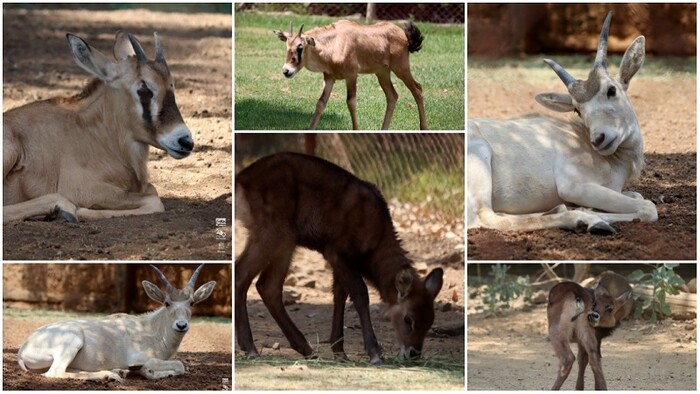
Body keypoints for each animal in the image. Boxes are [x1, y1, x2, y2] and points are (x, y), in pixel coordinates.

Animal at [4, 31, 194, 222]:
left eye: (171, 85)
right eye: (143, 88)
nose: (185, 141)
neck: (101, 135)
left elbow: (153, 192)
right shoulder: (84, 189)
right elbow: (154, 200)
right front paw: (82, 211)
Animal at [18, 264, 216, 382]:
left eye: (192, 303)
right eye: (167, 303)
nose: (181, 325)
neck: (152, 330)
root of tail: (22, 349)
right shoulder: (139, 358)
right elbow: (179, 365)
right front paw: (150, 372)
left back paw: (117, 373)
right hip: (72, 340)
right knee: (55, 373)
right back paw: (109, 375)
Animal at [235, 151, 442, 364]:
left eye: (430, 321)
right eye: (408, 319)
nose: (413, 353)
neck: (375, 244)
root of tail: (240, 180)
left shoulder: (340, 259)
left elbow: (339, 294)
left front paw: (340, 351)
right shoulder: (336, 250)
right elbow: (360, 294)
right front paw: (375, 353)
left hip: (286, 241)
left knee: (268, 286)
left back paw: (305, 348)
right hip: (273, 232)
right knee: (241, 273)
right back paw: (251, 348)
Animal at [272, 20, 426, 130]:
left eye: (300, 47)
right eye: (287, 46)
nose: (286, 71)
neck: (333, 43)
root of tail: (403, 34)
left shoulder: (351, 76)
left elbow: (351, 102)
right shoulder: (329, 78)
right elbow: (321, 103)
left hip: (401, 69)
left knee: (417, 89)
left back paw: (423, 128)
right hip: (382, 73)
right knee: (392, 96)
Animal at [468, 11, 660, 234]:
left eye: (611, 90)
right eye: (577, 109)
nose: (599, 139)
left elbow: (638, 196)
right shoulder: (574, 186)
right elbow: (647, 207)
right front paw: (587, 211)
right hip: (480, 154)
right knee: (487, 217)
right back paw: (585, 220)